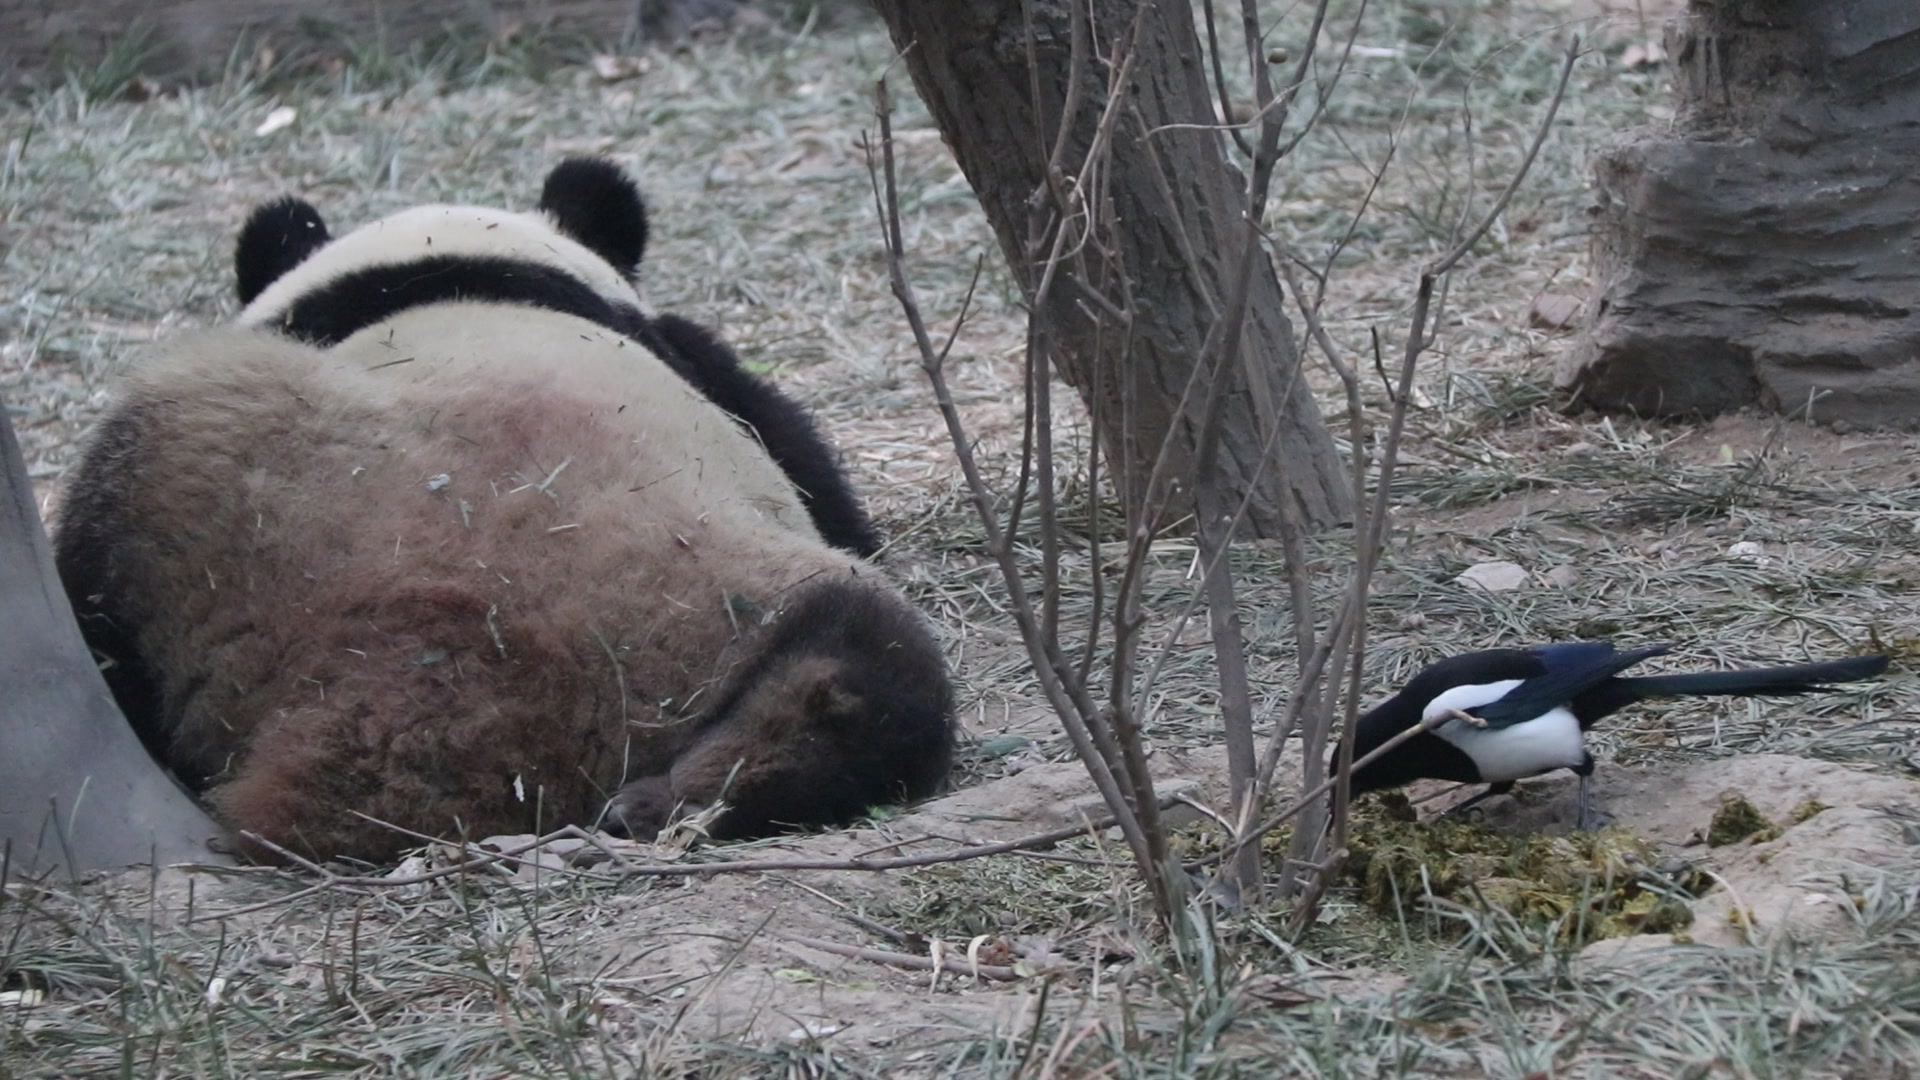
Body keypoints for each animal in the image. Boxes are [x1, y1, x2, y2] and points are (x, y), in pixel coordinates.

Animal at [56, 155, 956, 860]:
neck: (439, 270)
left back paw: (675, 796)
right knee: (880, 676)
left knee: (867, 673)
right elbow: (816, 472)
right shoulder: (708, 367)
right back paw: (675, 801)